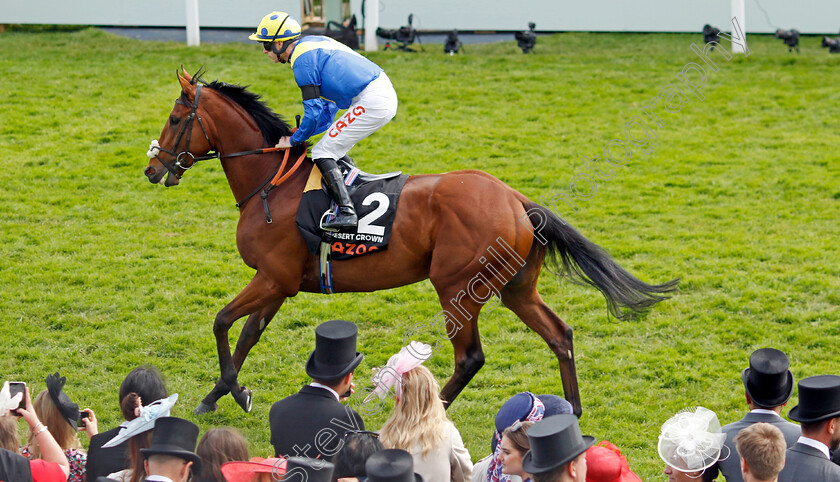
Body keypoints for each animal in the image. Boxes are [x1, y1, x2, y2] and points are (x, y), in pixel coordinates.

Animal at [144, 69, 680, 416]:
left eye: (175, 118)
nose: (152, 168)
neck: (271, 184)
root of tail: (516, 199)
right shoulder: (279, 282)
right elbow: (247, 335)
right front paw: (218, 396)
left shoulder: (272, 277)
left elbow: (221, 323)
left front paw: (233, 393)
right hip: (516, 288)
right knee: (560, 334)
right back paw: (574, 414)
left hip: (458, 285)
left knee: (471, 357)